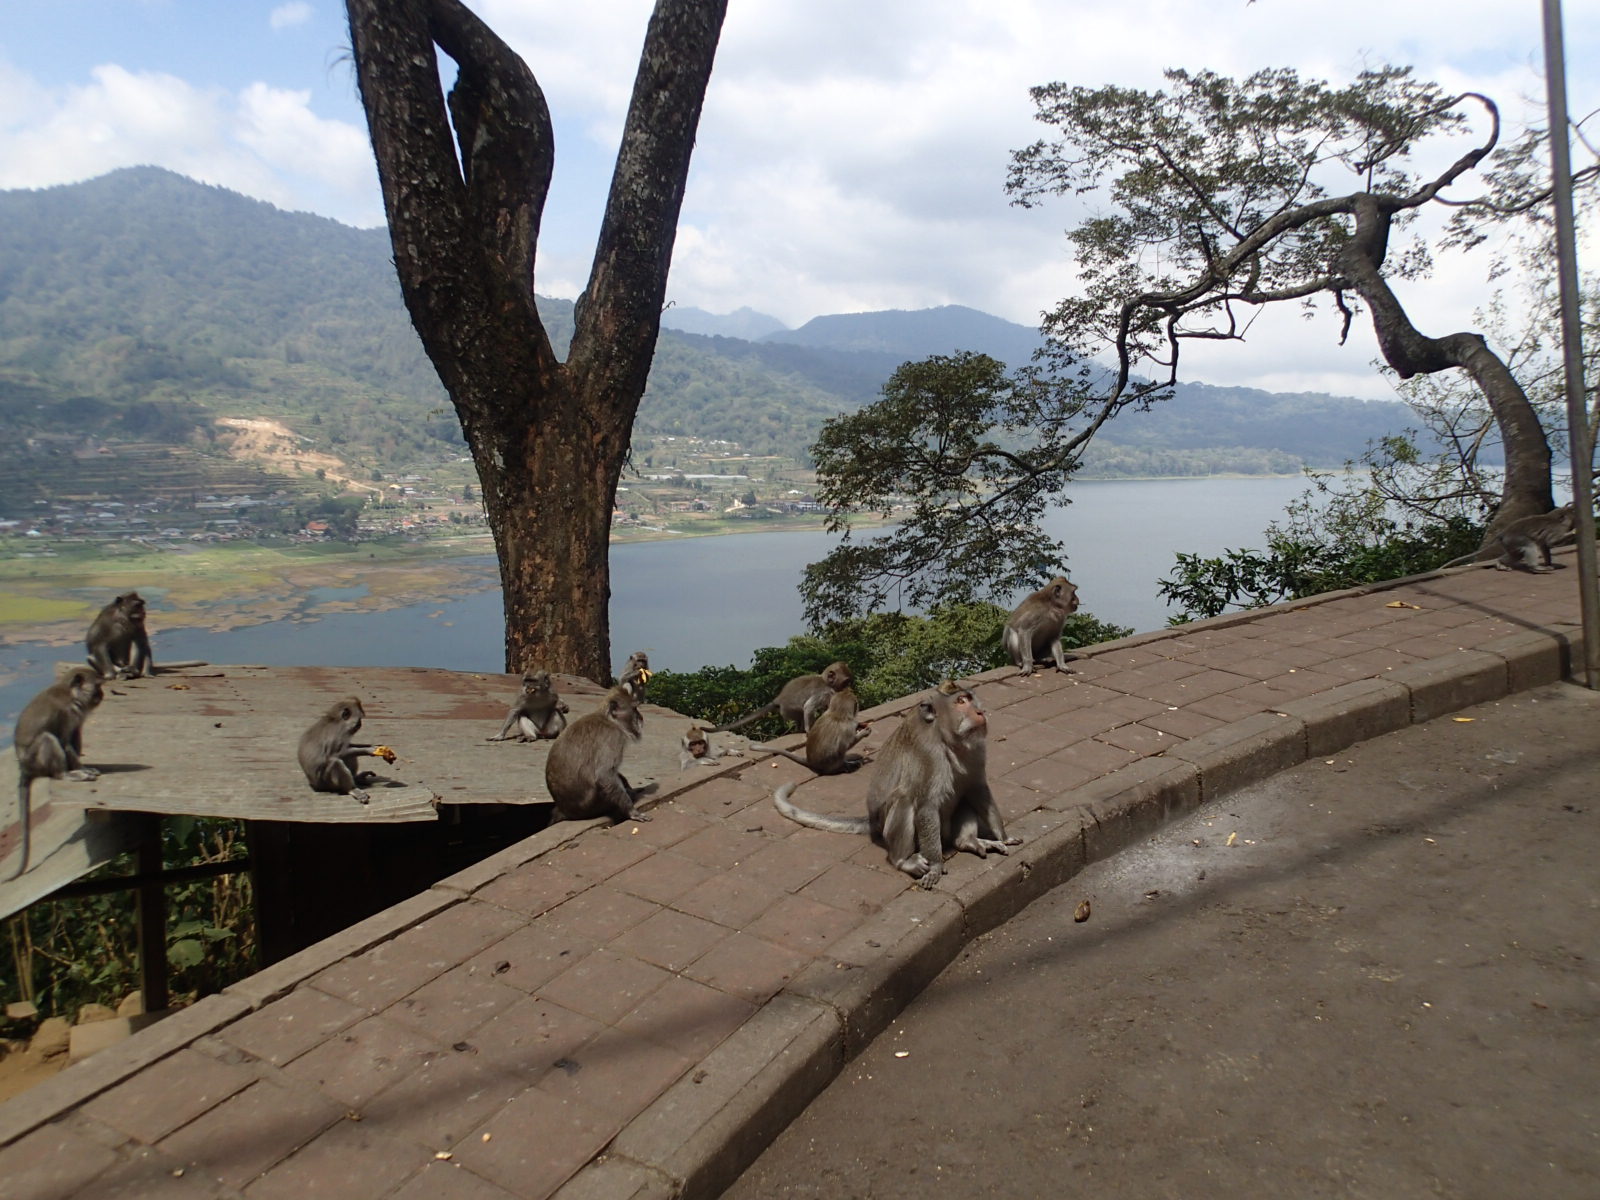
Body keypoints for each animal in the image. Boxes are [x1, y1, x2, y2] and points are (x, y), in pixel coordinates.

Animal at [10, 668, 104, 883]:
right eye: (97, 686)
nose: (102, 694)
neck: (71, 694)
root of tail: (25, 768)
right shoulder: (67, 713)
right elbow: (65, 740)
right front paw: (80, 770)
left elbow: (75, 736)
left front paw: (85, 767)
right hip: (36, 760)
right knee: (48, 738)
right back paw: (65, 774)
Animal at [547, 691, 652, 825]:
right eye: (634, 709)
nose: (641, 717)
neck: (609, 719)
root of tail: (564, 810)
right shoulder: (613, 735)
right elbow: (604, 775)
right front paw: (631, 811)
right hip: (594, 806)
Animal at [716, 662, 857, 739]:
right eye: (845, 682)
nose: (849, 687)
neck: (825, 681)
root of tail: (778, 699)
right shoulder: (823, 692)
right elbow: (808, 707)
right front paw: (809, 730)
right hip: (789, 710)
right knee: (800, 713)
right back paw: (800, 729)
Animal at [771, 684, 1017, 896]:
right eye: (961, 701)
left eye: (970, 698)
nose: (979, 711)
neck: (949, 741)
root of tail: (873, 821)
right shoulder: (929, 756)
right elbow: (926, 806)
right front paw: (936, 866)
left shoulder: (976, 749)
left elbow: (978, 790)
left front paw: (1003, 837)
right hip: (890, 828)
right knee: (905, 799)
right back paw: (904, 861)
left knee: (962, 796)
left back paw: (968, 841)